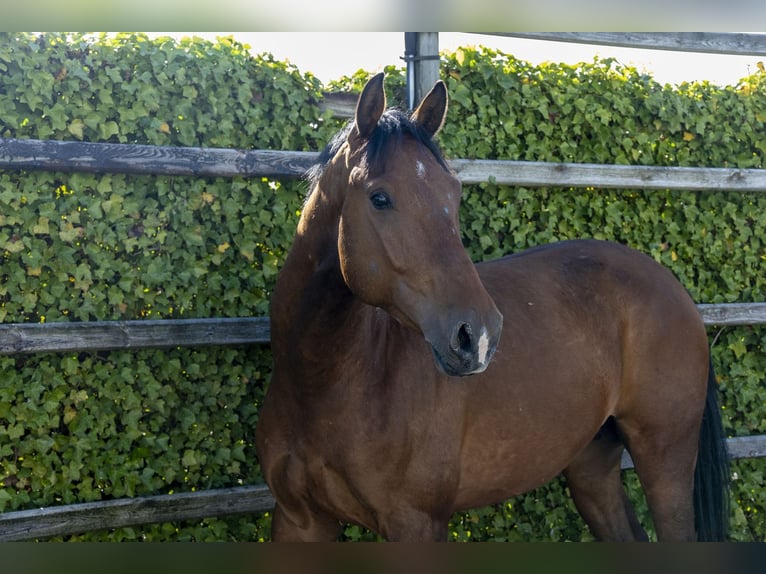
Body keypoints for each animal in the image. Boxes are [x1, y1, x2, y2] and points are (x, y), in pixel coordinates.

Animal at [255, 73, 730, 541]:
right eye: (379, 198)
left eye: (454, 193)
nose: (477, 336)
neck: (326, 383)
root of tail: (671, 285)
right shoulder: (299, 521)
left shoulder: (415, 525)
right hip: (592, 464)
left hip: (664, 458)